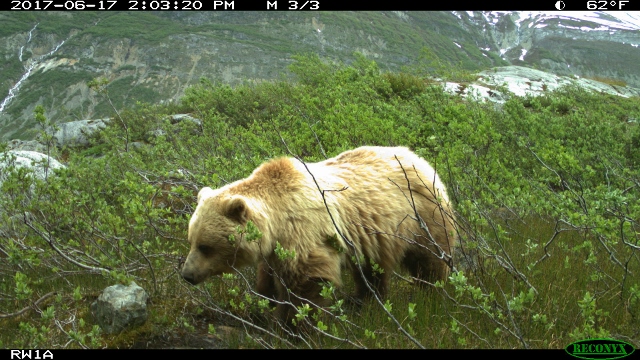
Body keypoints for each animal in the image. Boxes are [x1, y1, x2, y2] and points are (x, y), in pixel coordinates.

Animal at [182, 146, 458, 326]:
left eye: (206, 246)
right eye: (191, 241)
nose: (187, 275)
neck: (277, 221)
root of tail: (419, 158)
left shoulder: (303, 230)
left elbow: (306, 284)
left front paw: (295, 325)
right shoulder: (274, 248)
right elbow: (268, 277)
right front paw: (265, 303)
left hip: (422, 216)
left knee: (429, 259)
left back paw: (432, 292)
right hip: (375, 233)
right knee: (371, 268)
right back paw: (363, 300)